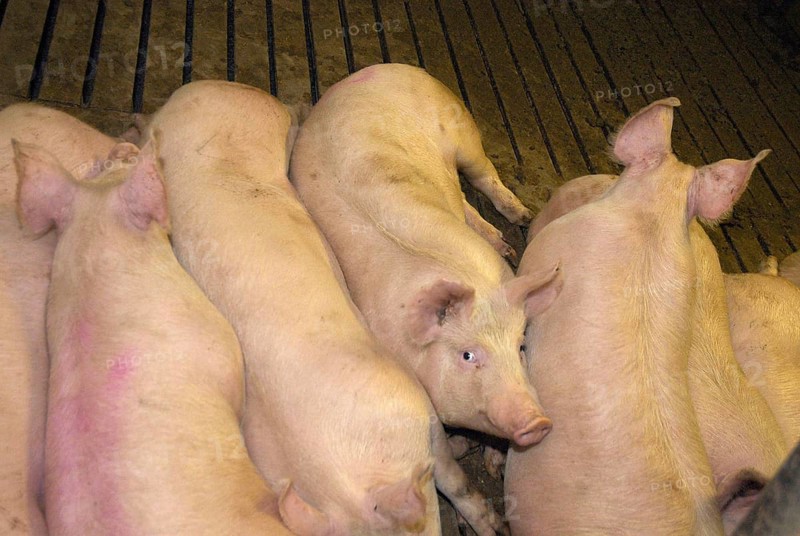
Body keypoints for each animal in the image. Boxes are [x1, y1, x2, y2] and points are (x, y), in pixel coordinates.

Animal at [290, 64, 559, 456]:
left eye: (521, 346)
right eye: (467, 356)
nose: (537, 423)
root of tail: (373, 70)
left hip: (463, 133)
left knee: (483, 174)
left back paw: (521, 220)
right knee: (463, 195)